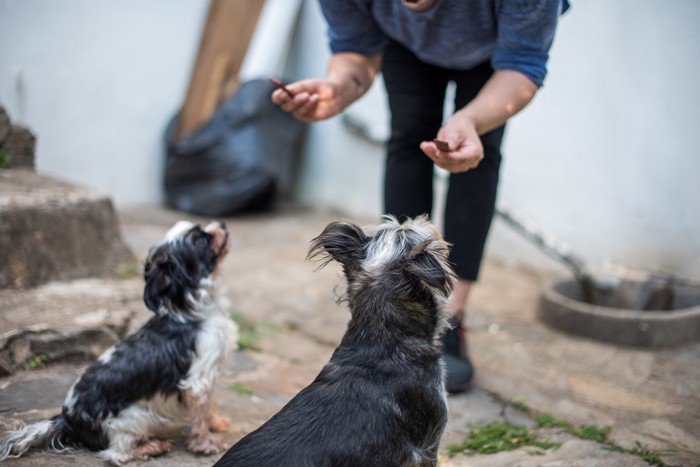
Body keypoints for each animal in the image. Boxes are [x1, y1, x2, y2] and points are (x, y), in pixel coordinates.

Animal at [0, 221, 238, 466]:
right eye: (201, 240)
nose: (222, 224)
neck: (192, 309)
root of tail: (67, 421)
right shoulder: (198, 380)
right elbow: (200, 415)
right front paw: (206, 443)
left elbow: (208, 408)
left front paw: (215, 423)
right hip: (134, 418)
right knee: (115, 453)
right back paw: (152, 447)